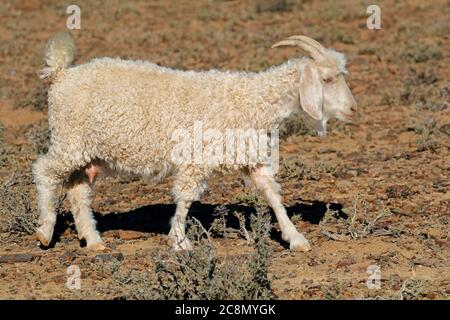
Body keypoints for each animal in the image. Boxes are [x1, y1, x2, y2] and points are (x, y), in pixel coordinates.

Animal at [33, 33, 356, 252]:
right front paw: (179, 241)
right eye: (327, 79)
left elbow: (273, 195)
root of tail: (61, 75)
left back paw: (93, 240)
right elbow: (185, 197)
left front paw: (296, 239)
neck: (252, 99)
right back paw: (45, 231)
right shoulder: (195, 157)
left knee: (78, 190)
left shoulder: (251, 156)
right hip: (69, 139)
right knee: (45, 171)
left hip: (87, 152)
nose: (353, 109)